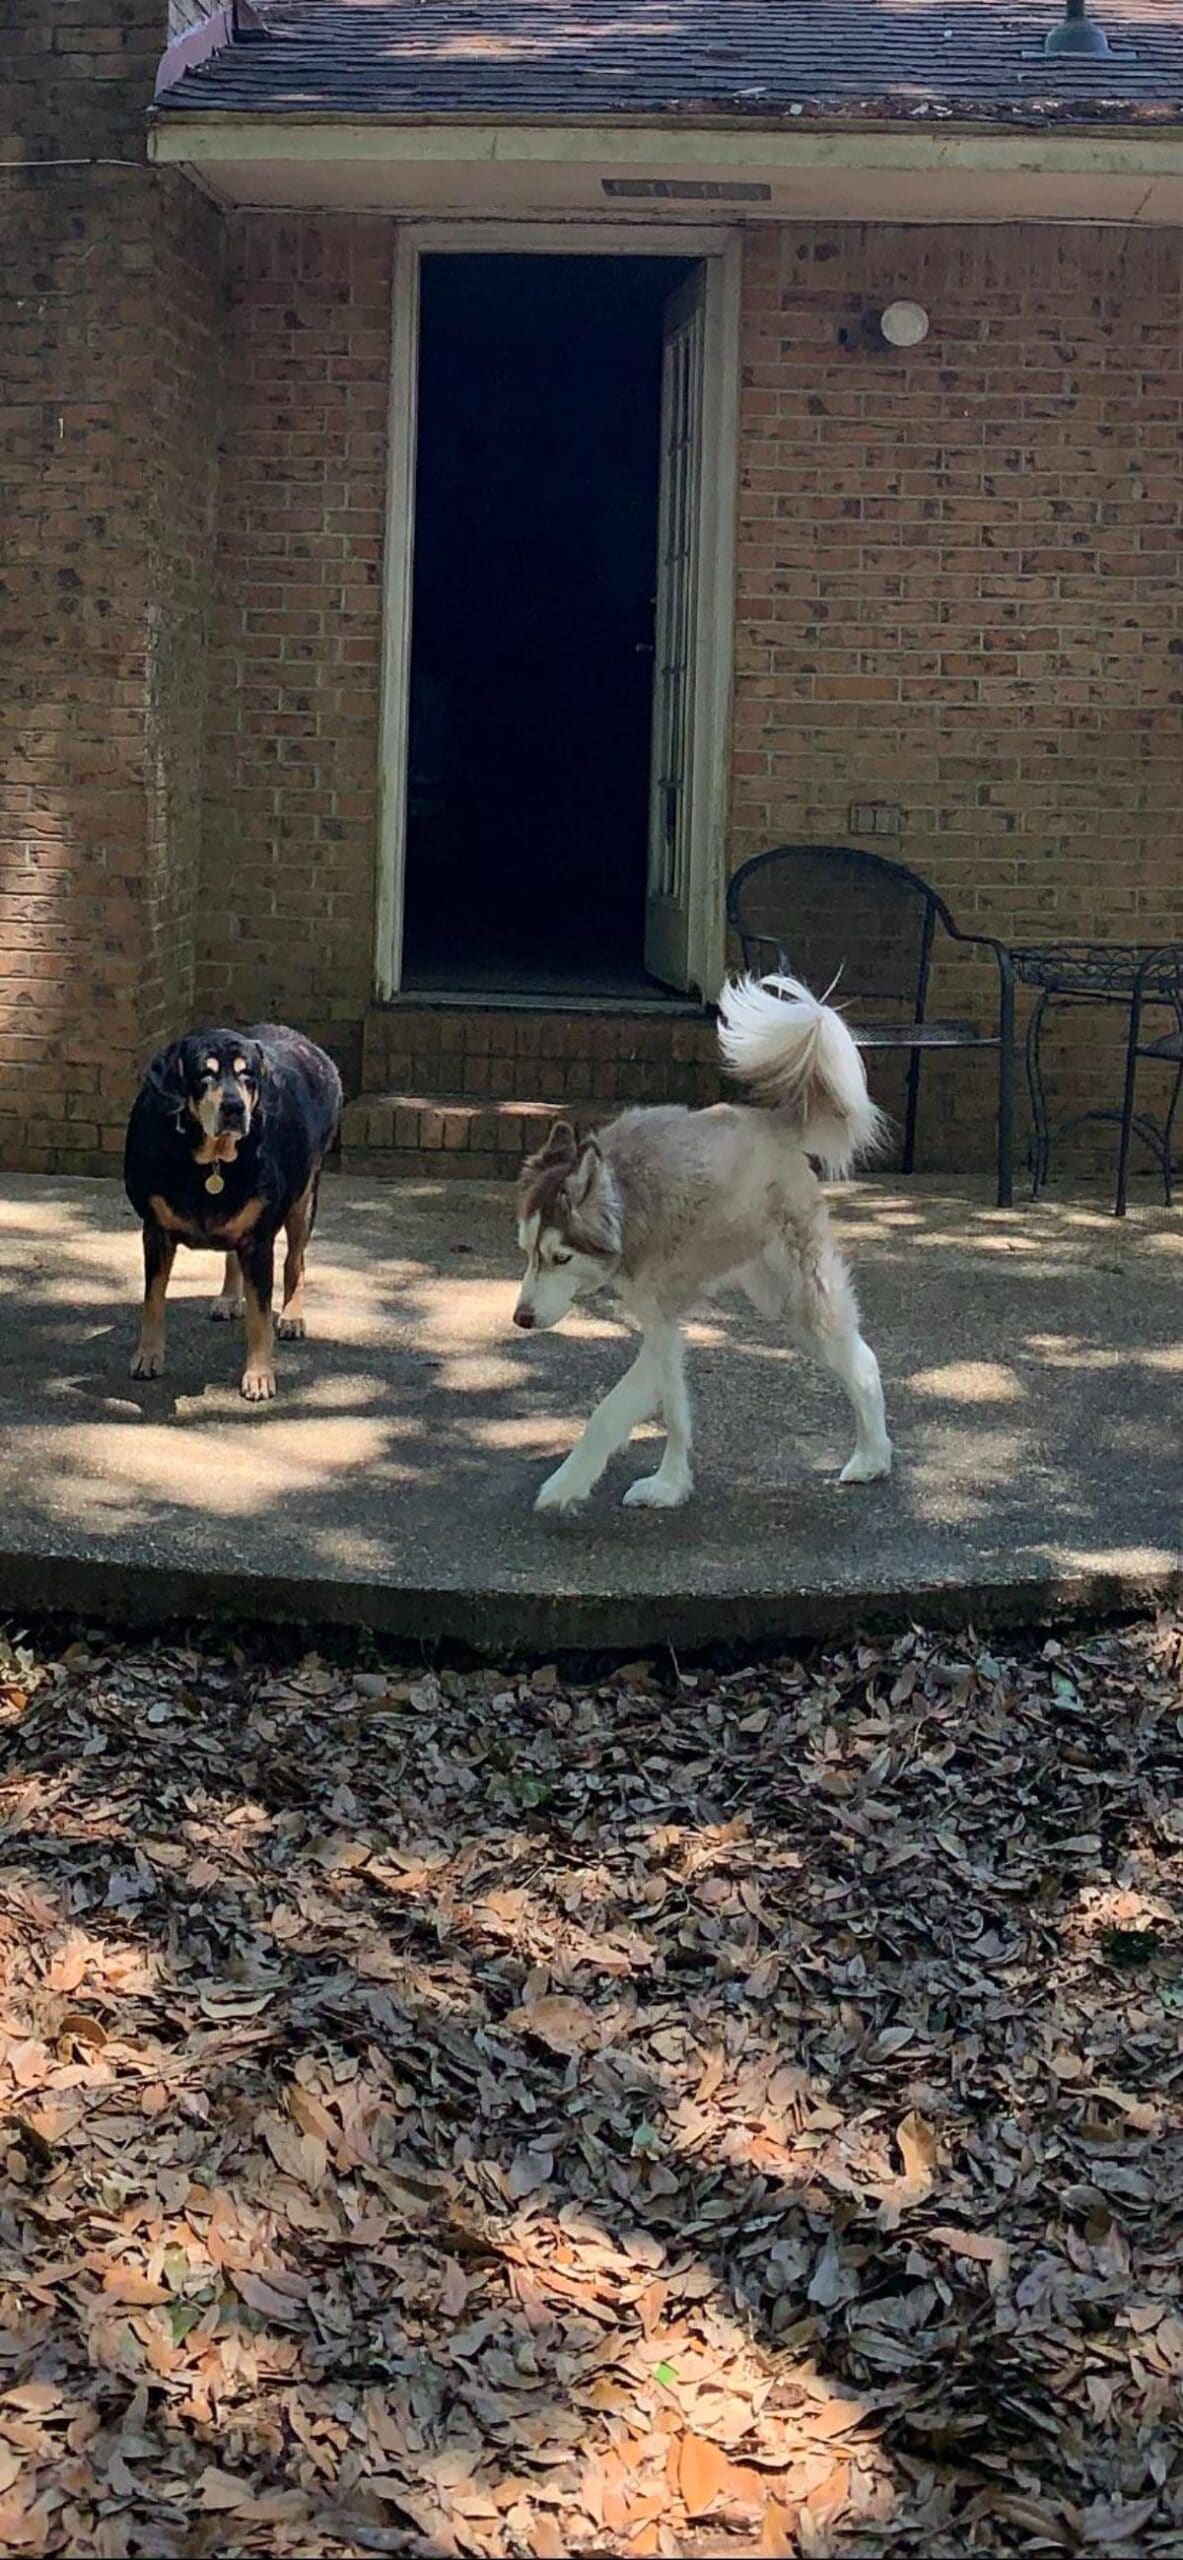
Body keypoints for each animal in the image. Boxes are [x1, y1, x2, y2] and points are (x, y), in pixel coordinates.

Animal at [124, 1024, 343, 1402]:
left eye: (247, 1076)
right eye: (205, 1074)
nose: (234, 1107)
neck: (210, 1160)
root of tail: (309, 1044)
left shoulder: (258, 1241)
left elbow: (259, 1317)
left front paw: (258, 1376)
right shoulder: (155, 1231)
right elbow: (153, 1298)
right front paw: (148, 1355)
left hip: (304, 1198)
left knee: (295, 1261)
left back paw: (291, 1316)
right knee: (232, 1256)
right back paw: (229, 1297)